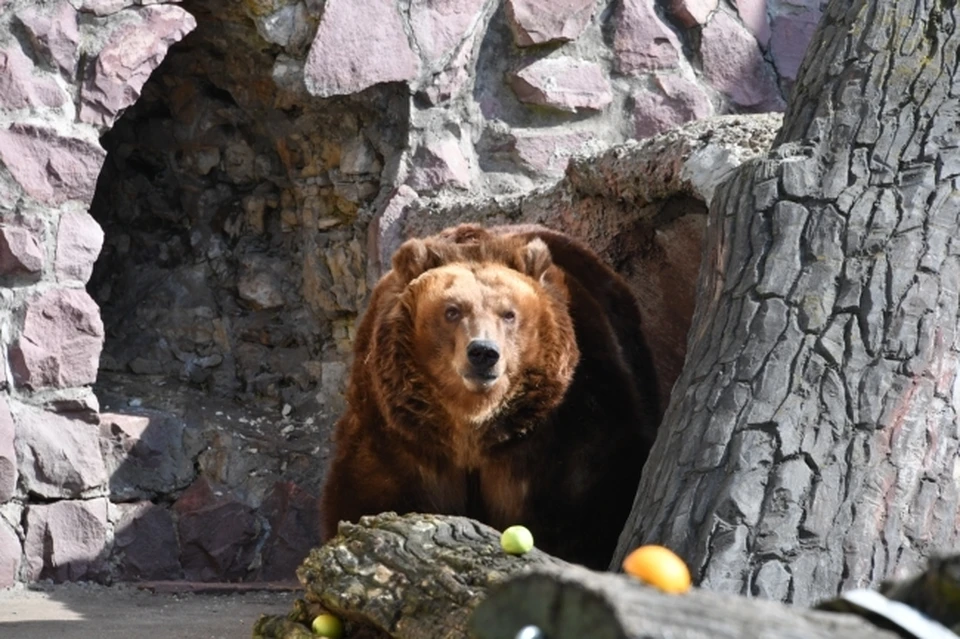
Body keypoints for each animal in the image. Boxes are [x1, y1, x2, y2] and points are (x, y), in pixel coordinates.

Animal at [320, 222, 660, 568]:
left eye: (508, 314)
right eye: (452, 311)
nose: (483, 352)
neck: (473, 426)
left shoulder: (565, 426)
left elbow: (585, 502)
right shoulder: (403, 433)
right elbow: (373, 494)